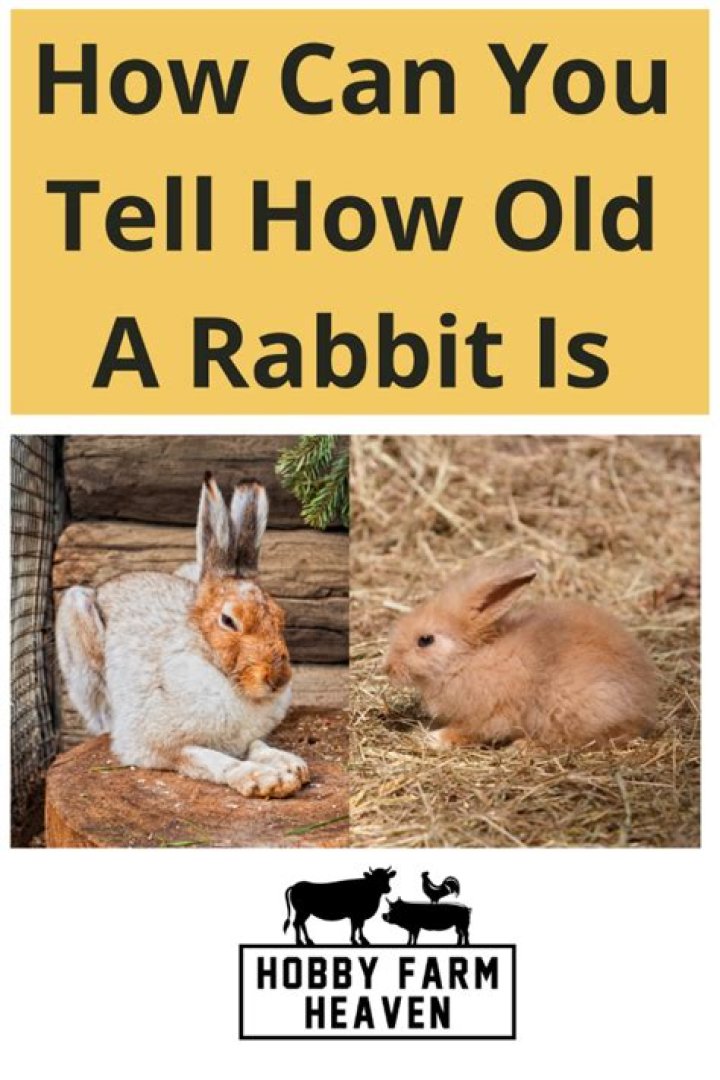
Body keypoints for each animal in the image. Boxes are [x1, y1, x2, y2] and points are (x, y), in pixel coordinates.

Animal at [56, 473, 309, 797]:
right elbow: (212, 760)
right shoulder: (159, 745)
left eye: (280, 617)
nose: (278, 678)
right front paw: (262, 779)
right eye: (228, 620)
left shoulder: (243, 738)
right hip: (78, 626)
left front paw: (290, 765)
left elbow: (256, 744)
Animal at [384, 556, 658, 749]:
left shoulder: (492, 713)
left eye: (425, 640)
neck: (466, 659)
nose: (388, 668)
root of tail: (642, 702)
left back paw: (524, 746)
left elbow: (470, 731)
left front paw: (436, 738)